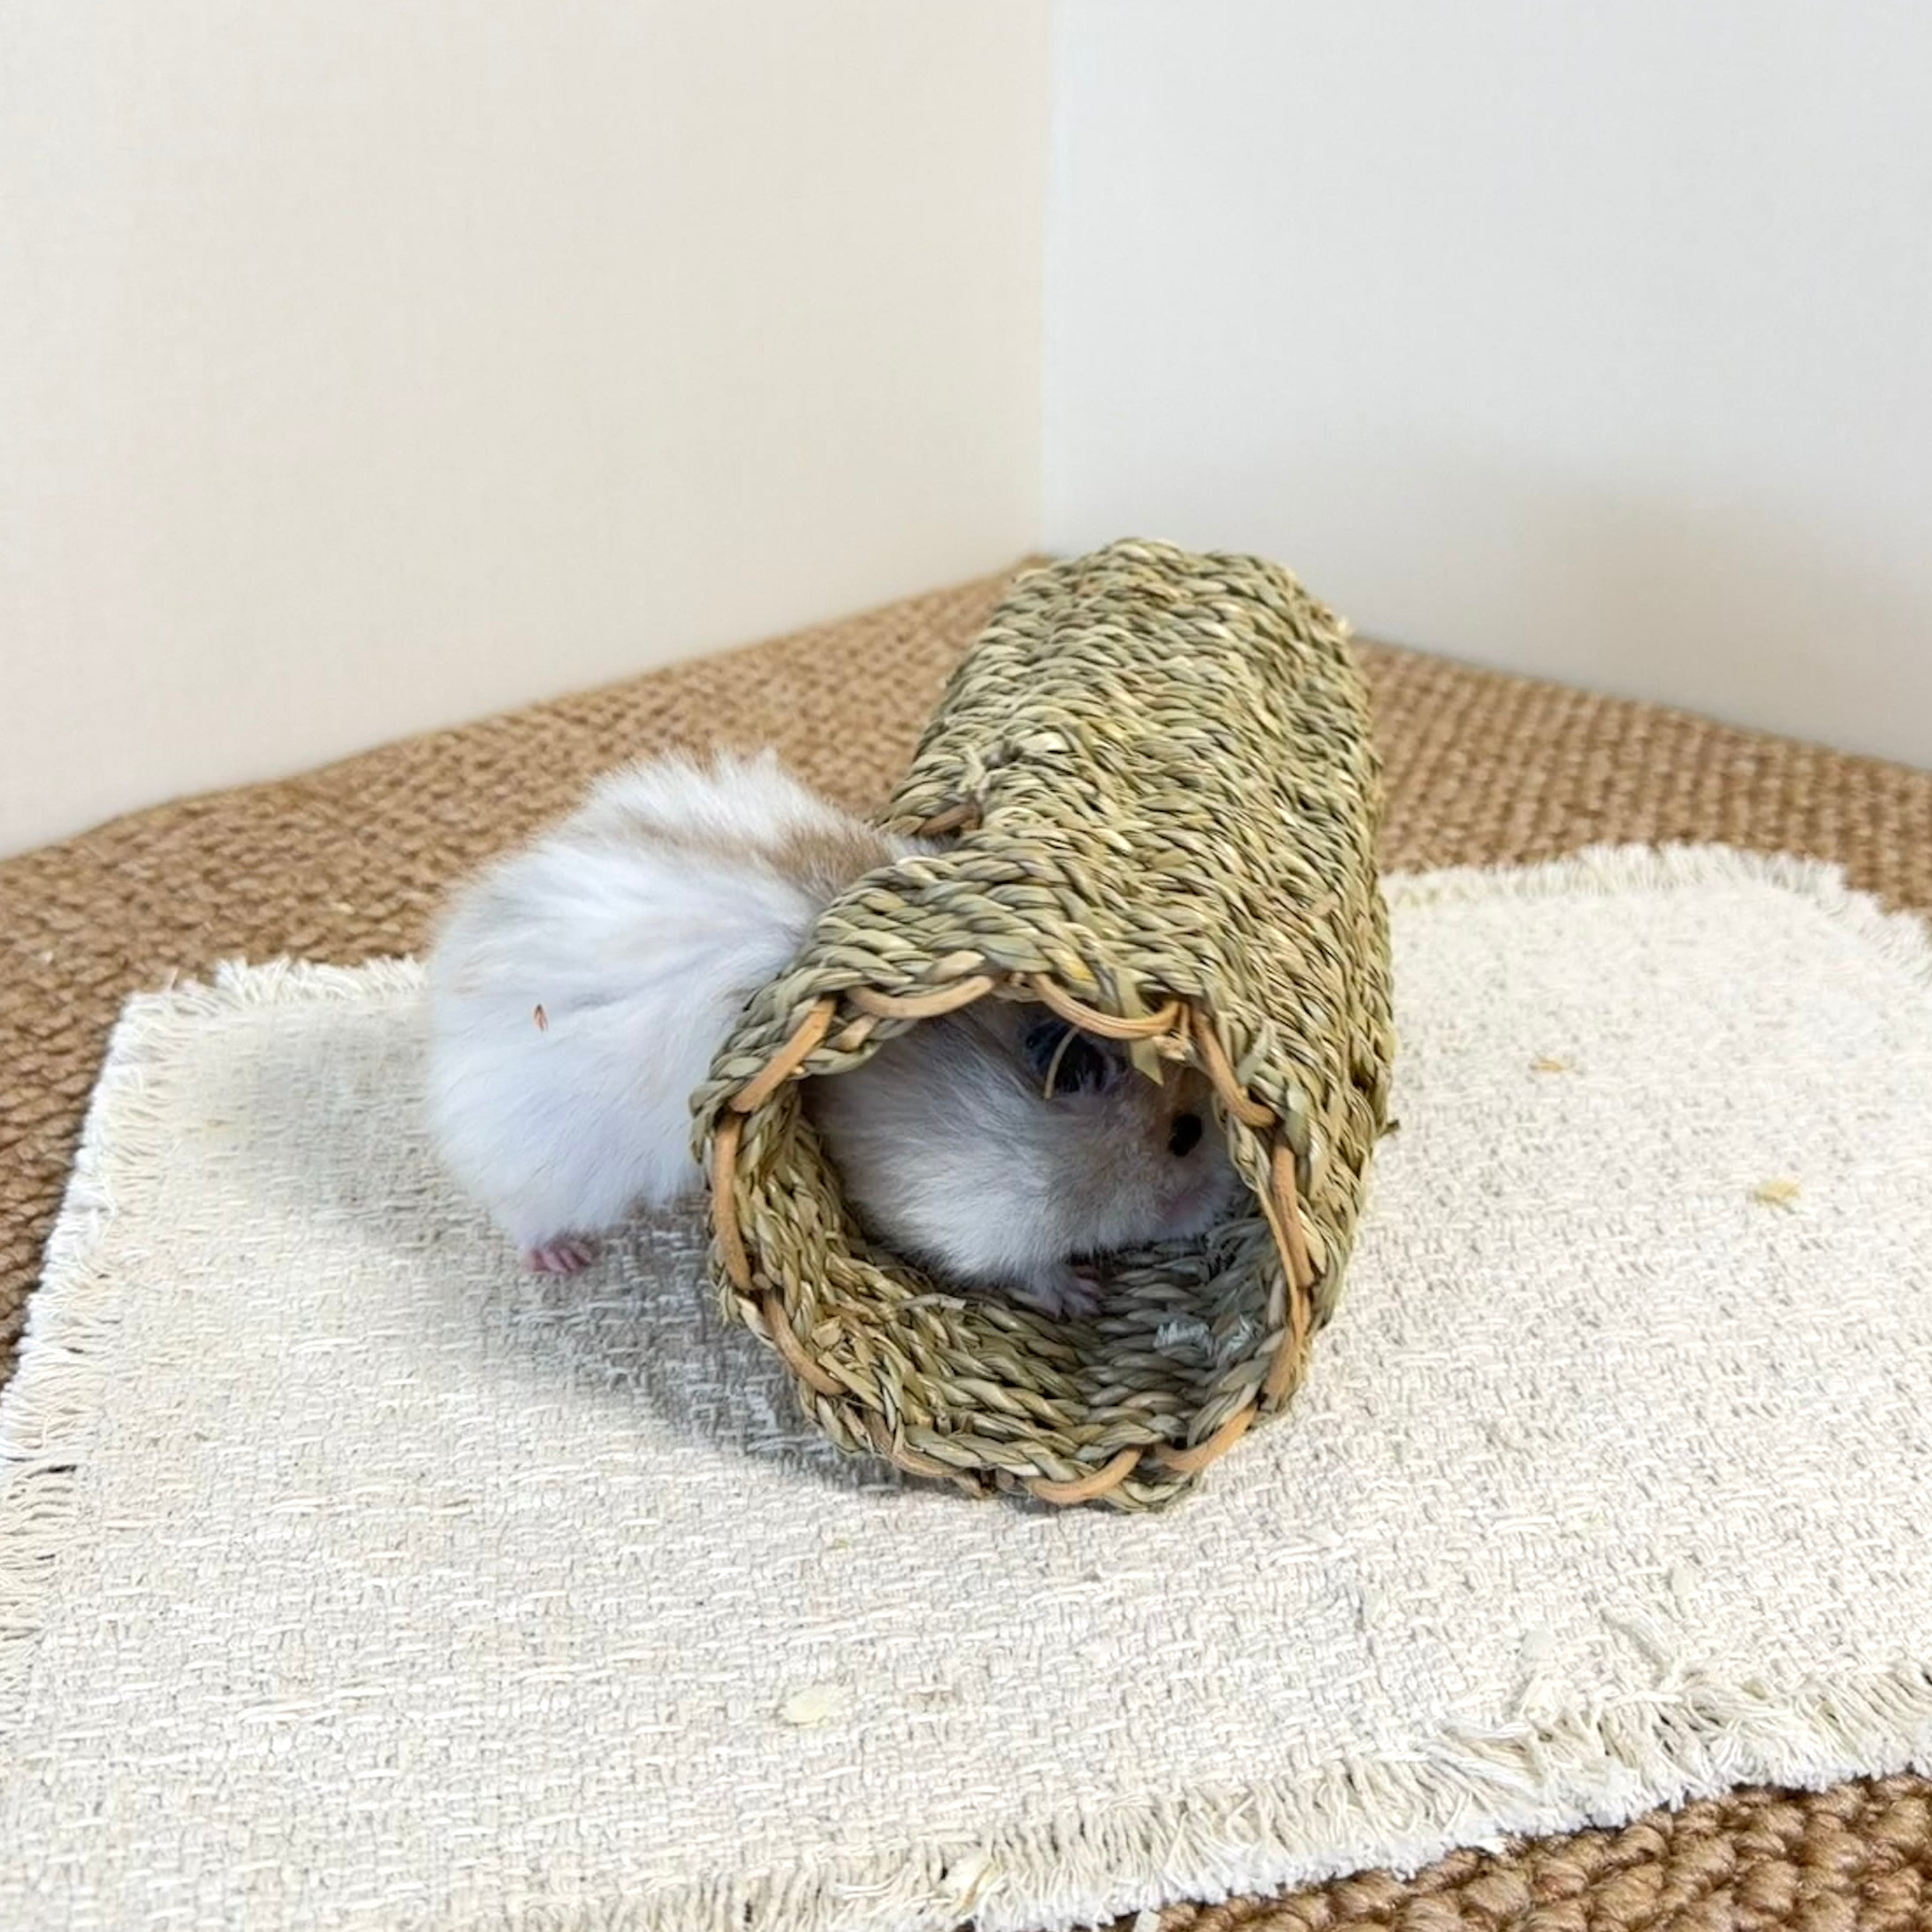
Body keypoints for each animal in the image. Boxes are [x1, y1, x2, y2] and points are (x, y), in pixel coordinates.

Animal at [425, 748, 1236, 1315]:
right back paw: (559, 1259)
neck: (1052, 1149)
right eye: (1185, 1135)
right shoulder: (974, 1218)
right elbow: (1025, 1267)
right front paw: (1081, 1295)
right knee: (519, 1214)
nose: (1223, 1204)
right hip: (536, 1155)